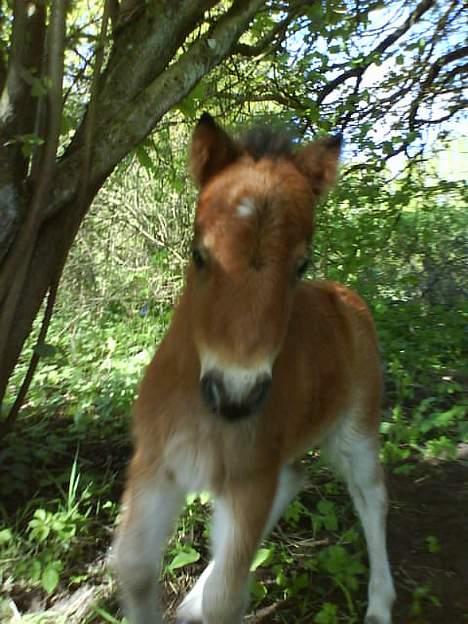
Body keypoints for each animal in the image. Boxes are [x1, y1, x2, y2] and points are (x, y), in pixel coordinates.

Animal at [113, 113, 394, 624]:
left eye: (301, 263)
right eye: (198, 253)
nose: (235, 395)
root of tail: (345, 297)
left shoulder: (250, 475)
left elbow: (227, 599)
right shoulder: (155, 463)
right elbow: (135, 567)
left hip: (356, 430)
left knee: (371, 497)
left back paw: (380, 605)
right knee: (294, 480)